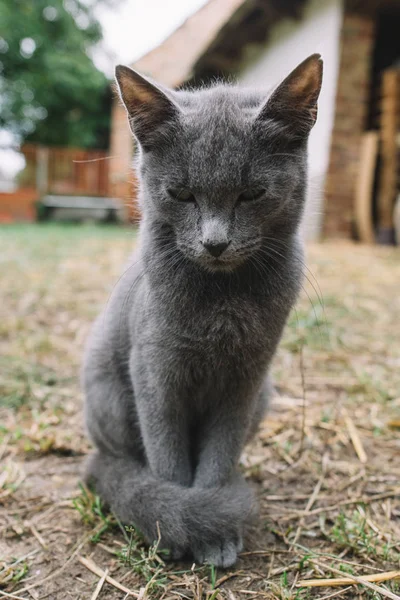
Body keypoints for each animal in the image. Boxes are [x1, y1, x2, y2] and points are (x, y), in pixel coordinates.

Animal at [83, 55, 324, 568]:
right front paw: (176, 520)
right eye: (182, 194)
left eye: (251, 194)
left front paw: (215, 521)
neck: (222, 303)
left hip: (265, 394)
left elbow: (219, 453)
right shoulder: (155, 373)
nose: (215, 243)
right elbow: (168, 456)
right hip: (109, 394)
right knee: (112, 461)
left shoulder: (246, 380)